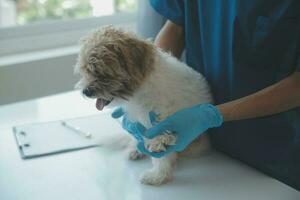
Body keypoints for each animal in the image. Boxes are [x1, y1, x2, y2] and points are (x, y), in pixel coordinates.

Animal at [75, 26, 213, 186]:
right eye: (85, 70)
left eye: (98, 70)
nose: (86, 91)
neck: (140, 91)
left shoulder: (162, 126)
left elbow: (161, 152)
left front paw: (157, 176)